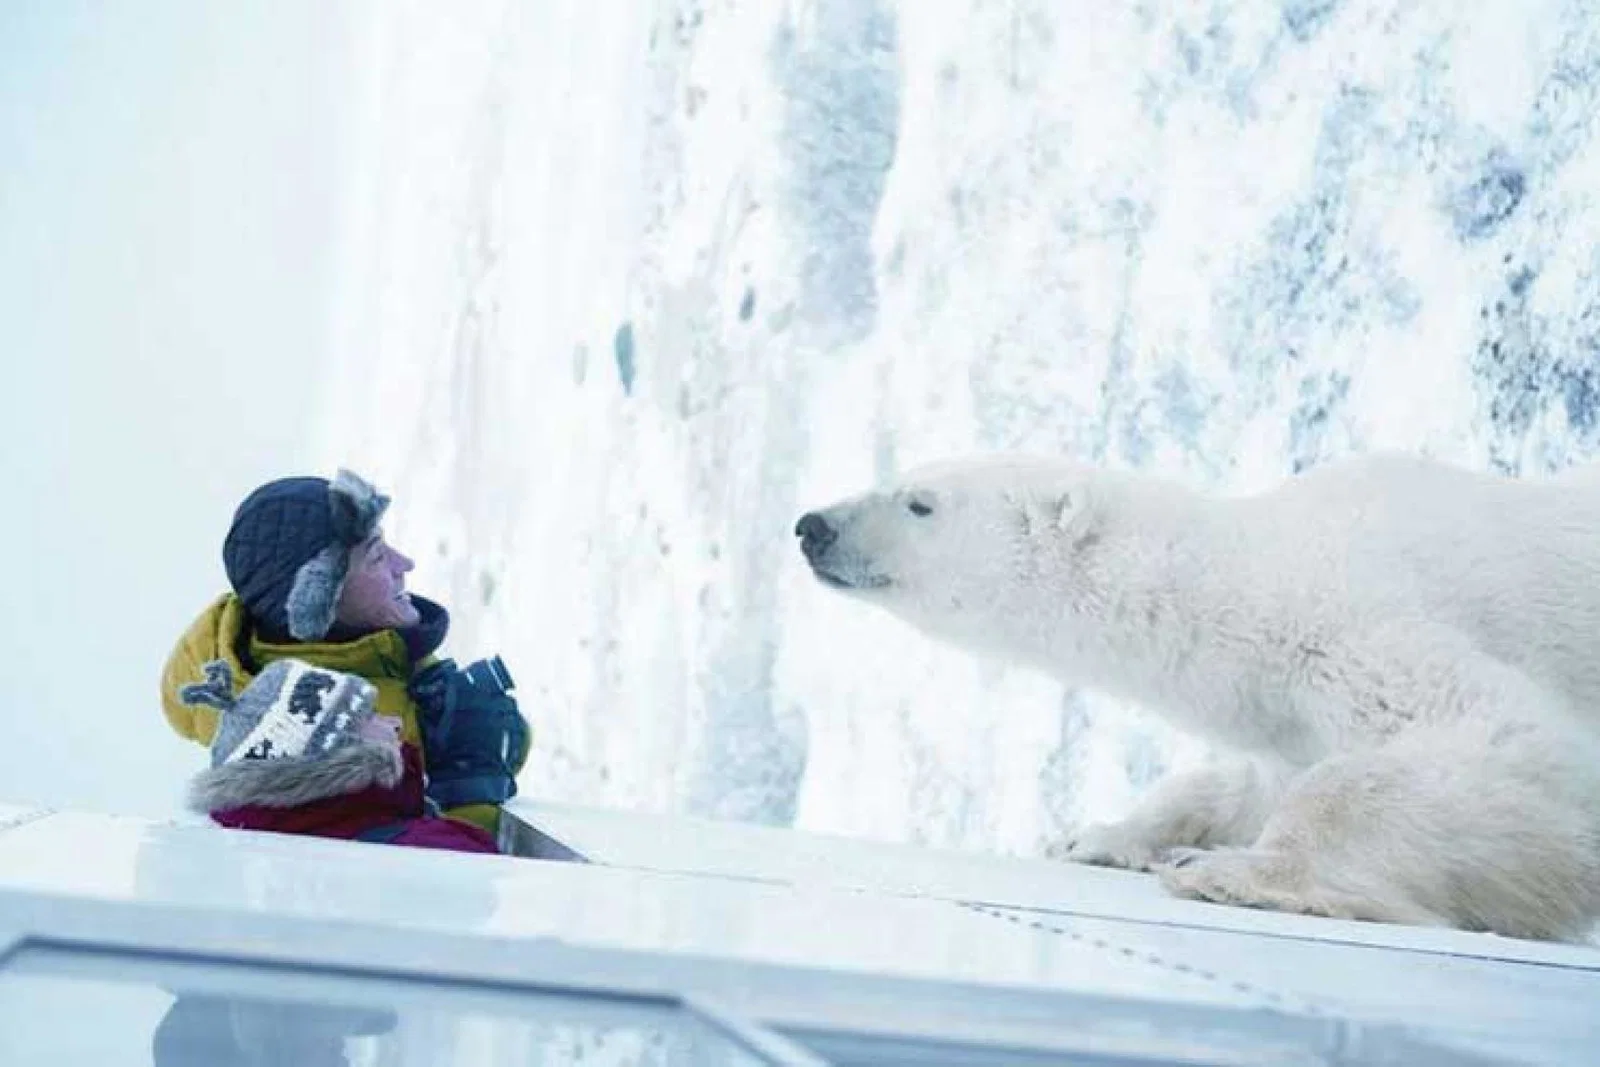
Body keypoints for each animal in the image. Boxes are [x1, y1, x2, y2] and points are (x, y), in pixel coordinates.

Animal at [795, 451, 1600, 942]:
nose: (812, 525)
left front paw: (1230, 873)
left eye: (919, 502)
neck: (1254, 587)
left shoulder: (1359, 622)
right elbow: (1242, 781)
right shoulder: (1279, 711)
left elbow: (1506, 738)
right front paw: (1101, 836)